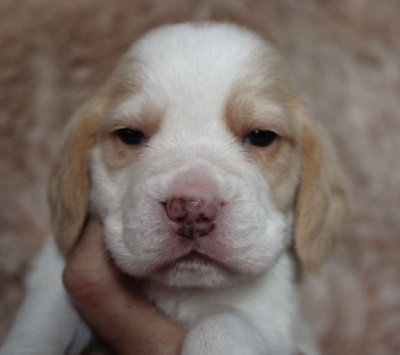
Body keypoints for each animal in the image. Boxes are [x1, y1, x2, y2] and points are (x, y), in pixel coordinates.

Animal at [0, 23, 346, 355]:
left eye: (261, 136)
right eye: (129, 134)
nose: (192, 209)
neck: (188, 292)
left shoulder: (275, 322)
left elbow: (218, 328)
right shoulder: (51, 274)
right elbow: (41, 322)